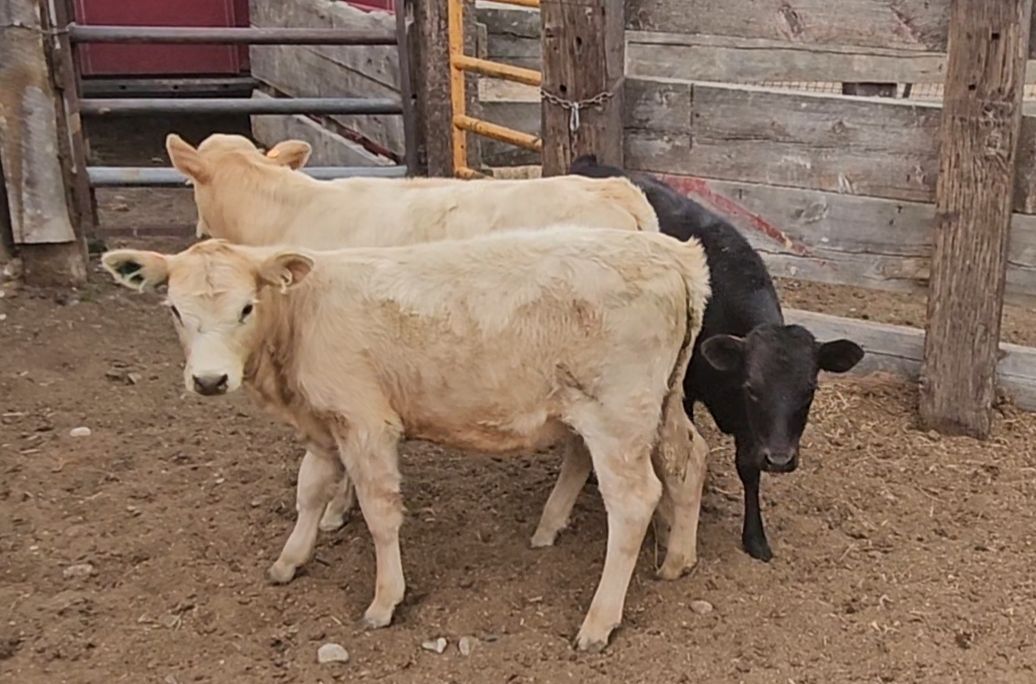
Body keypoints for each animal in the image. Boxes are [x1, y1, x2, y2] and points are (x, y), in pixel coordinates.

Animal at [101, 227, 711, 651]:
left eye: (246, 307)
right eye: (175, 310)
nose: (208, 381)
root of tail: (672, 254)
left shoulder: (365, 421)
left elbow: (379, 512)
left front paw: (384, 600)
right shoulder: (324, 426)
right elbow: (310, 490)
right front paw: (289, 560)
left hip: (618, 414)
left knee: (634, 501)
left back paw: (599, 620)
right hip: (658, 403)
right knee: (689, 460)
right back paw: (677, 558)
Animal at [530, 155, 865, 562]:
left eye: (809, 391)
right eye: (753, 388)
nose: (781, 459)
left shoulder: (751, 426)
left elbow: (747, 467)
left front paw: (755, 537)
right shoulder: (687, 391)